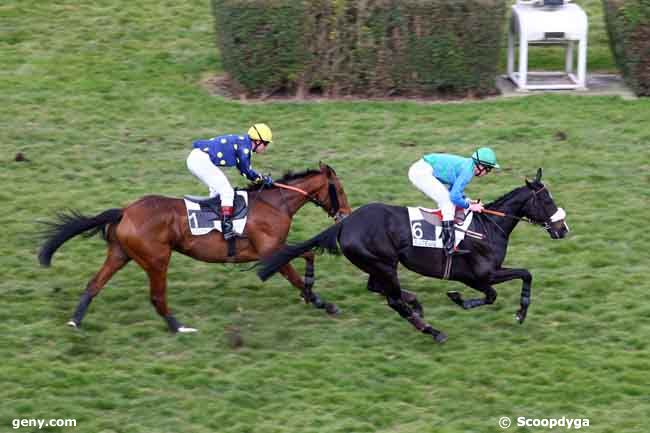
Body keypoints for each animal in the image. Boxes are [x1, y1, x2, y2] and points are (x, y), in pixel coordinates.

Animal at [38, 162, 352, 330]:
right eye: (340, 189)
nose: (346, 214)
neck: (276, 203)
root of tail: (125, 210)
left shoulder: (276, 248)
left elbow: (308, 254)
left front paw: (311, 290)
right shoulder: (269, 251)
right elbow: (297, 272)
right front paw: (322, 302)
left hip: (121, 253)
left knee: (94, 283)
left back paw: (76, 321)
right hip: (156, 259)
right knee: (157, 297)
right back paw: (179, 327)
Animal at [256, 169, 564, 340]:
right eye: (547, 200)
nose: (563, 229)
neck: (487, 227)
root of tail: (345, 222)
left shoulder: (483, 275)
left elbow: (519, 278)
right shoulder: (480, 275)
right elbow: (504, 287)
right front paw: (515, 311)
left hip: (378, 265)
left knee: (378, 288)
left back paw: (415, 304)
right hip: (383, 263)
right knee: (392, 299)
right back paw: (432, 330)